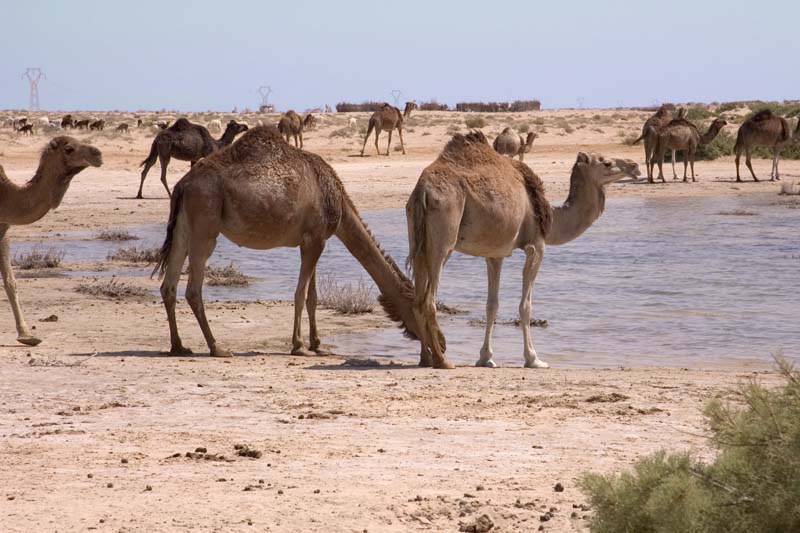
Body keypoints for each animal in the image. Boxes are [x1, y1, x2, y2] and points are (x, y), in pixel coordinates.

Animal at [153, 125, 440, 359]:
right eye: (420, 311)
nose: (442, 342)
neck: (338, 200)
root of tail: (182, 185)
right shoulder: (315, 239)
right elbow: (301, 294)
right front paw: (300, 346)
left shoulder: (312, 240)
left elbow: (312, 296)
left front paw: (317, 344)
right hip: (205, 225)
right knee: (193, 289)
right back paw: (217, 348)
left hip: (183, 227)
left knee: (169, 286)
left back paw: (179, 346)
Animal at [406, 131, 639, 369]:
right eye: (606, 162)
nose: (634, 165)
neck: (551, 217)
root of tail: (423, 190)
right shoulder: (537, 246)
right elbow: (525, 306)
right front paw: (533, 359)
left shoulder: (495, 253)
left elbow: (492, 305)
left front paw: (486, 358)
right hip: (445, 237)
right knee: (429, 299)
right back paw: (443, 361)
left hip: (418, 238)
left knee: (417, 299)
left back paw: (425, 358)